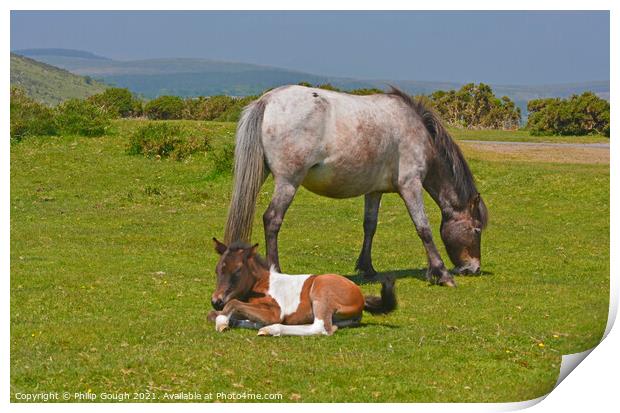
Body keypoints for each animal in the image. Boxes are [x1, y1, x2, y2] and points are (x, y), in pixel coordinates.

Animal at [208, 238, 398, 334]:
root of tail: (360, 295)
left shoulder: (275, 311)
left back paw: (271, 329)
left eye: (238, 270)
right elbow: (215, 314)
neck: (262, 283)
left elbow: (233, 304)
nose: (216, 301)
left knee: (321, 327)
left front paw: (223, 322)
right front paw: (228, 319)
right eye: (217, 269)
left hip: (321, 292)